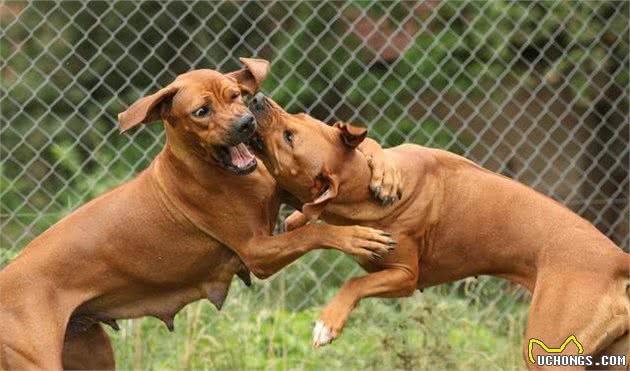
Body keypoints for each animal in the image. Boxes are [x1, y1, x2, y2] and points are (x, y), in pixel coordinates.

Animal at [0, 59, 402, 370]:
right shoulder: (257, 252)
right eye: (201, 112)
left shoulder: (289, 193)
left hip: (89, 351)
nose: (246, 122)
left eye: (235, 95)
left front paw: (386, 172)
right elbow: (312, 232)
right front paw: (358, 238)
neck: (223, 173)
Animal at [249, 93, 630, 370]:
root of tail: (616, 261)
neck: (362, 193)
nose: (258, 99)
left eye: (290, 135)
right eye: (297, 117)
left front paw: (327, 324)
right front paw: (300, 219)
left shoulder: (405, 277)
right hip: (613, 354)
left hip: (550, 347)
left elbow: (354, 282)